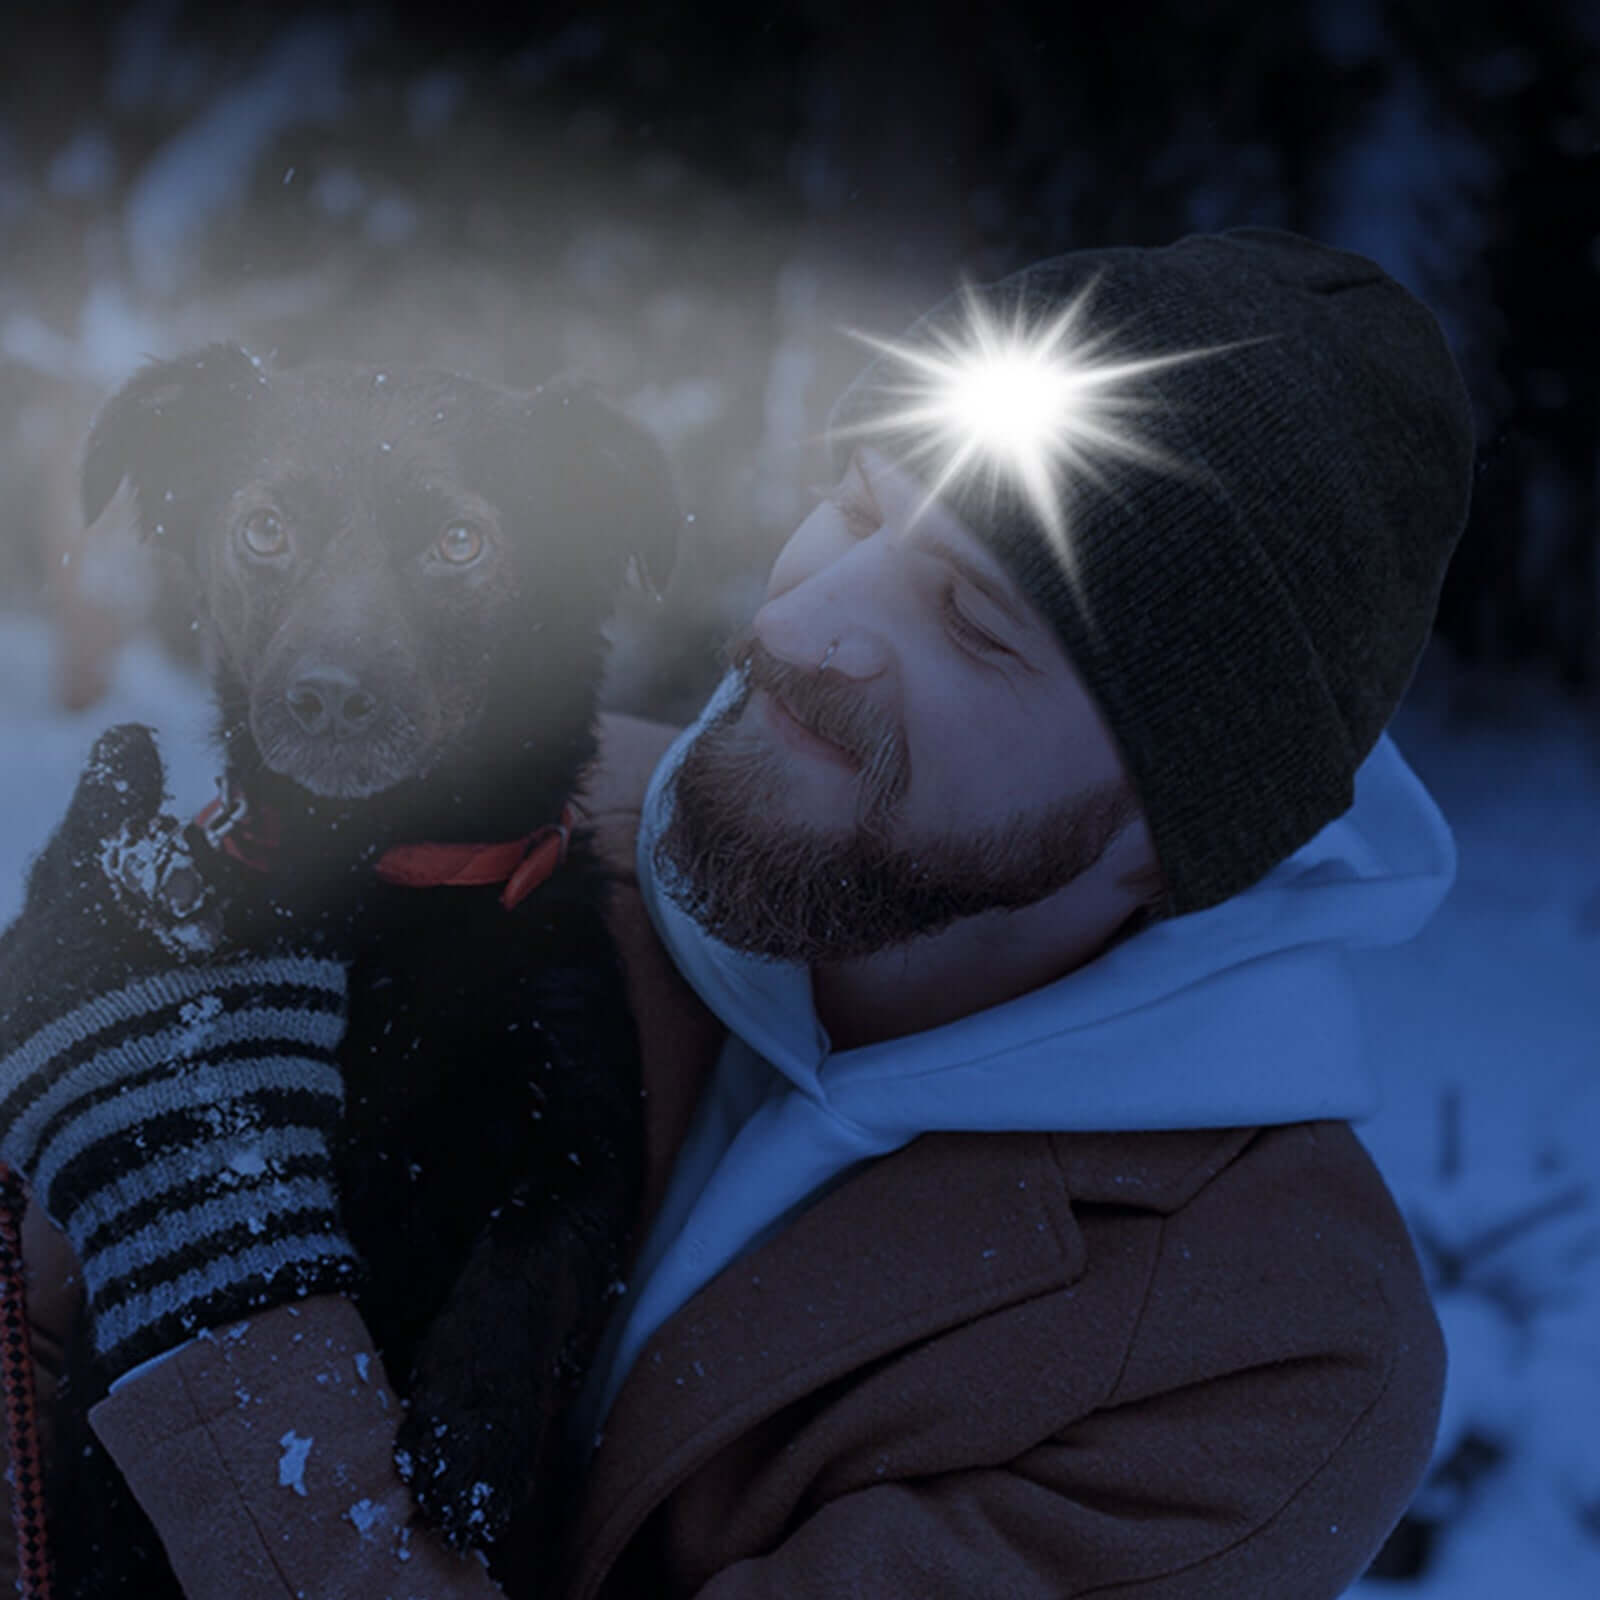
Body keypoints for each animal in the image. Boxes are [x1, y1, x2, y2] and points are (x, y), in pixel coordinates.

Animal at [46, 344, 678, 1593]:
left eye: (461, 543)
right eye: (265, 528)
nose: (327, 695)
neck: (384, 884)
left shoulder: (589, 1113)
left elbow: (536, 1236)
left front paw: (471, 1433)